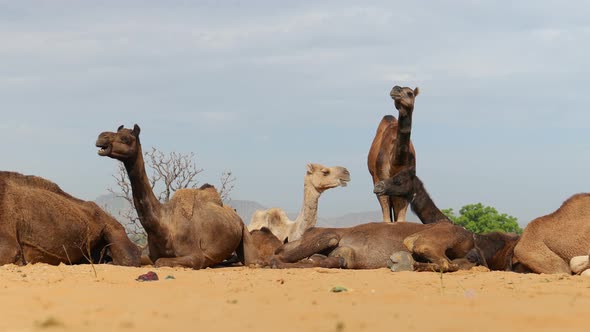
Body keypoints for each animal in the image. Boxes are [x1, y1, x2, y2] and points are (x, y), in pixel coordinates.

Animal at [96, 125, 260, 270]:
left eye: (125, 138)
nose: (101, 137)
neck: (164, 225)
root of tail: (236, 215)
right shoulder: (150, 254)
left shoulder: (195, 256)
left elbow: (161, 262)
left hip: (245, 233)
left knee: (251, 261)